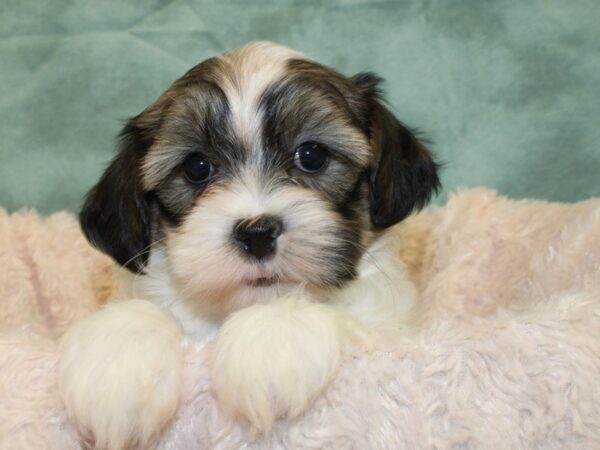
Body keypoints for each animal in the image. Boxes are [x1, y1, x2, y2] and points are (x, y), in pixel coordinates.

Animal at [58, 40, 438, 448]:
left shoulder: (391, 329)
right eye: (196, 167)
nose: (257, 234)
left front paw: (269, 337)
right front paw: (117, 360)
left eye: (312, 155)